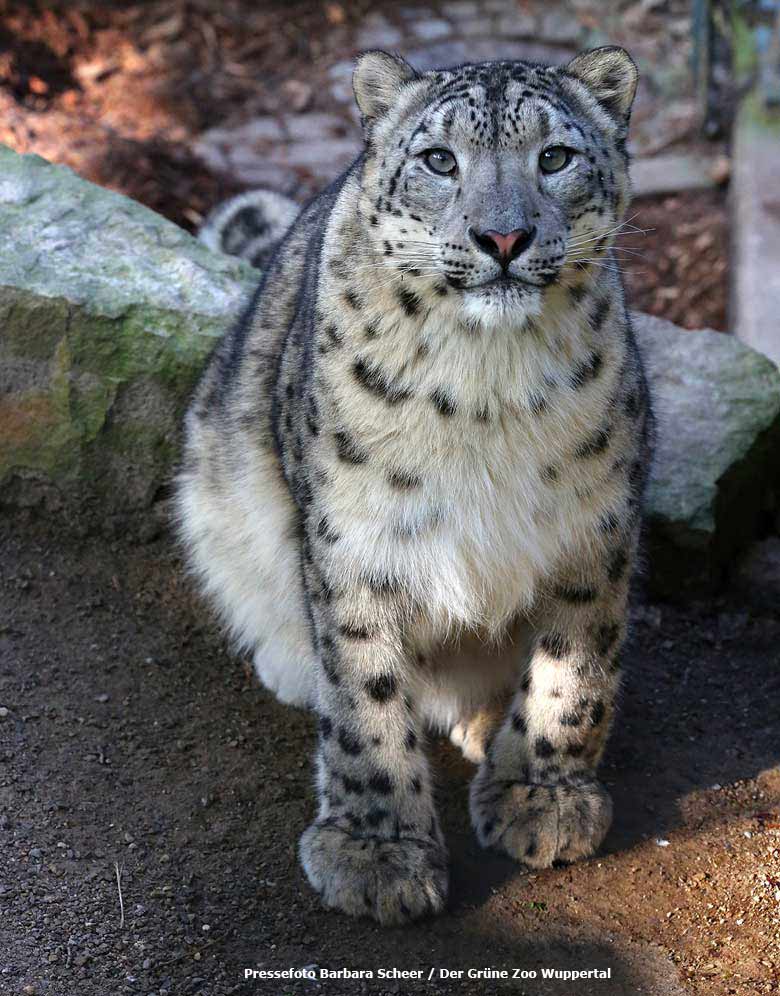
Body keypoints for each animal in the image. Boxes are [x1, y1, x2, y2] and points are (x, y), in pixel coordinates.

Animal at [175, 42, 652, 924]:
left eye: (555, 157)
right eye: (439, 160)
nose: (504, 234)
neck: (487, 388)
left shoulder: (594, 528)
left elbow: (574, 670)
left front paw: (543, 799)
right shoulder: (355, 537)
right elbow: (365, 697)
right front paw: (377, 855)